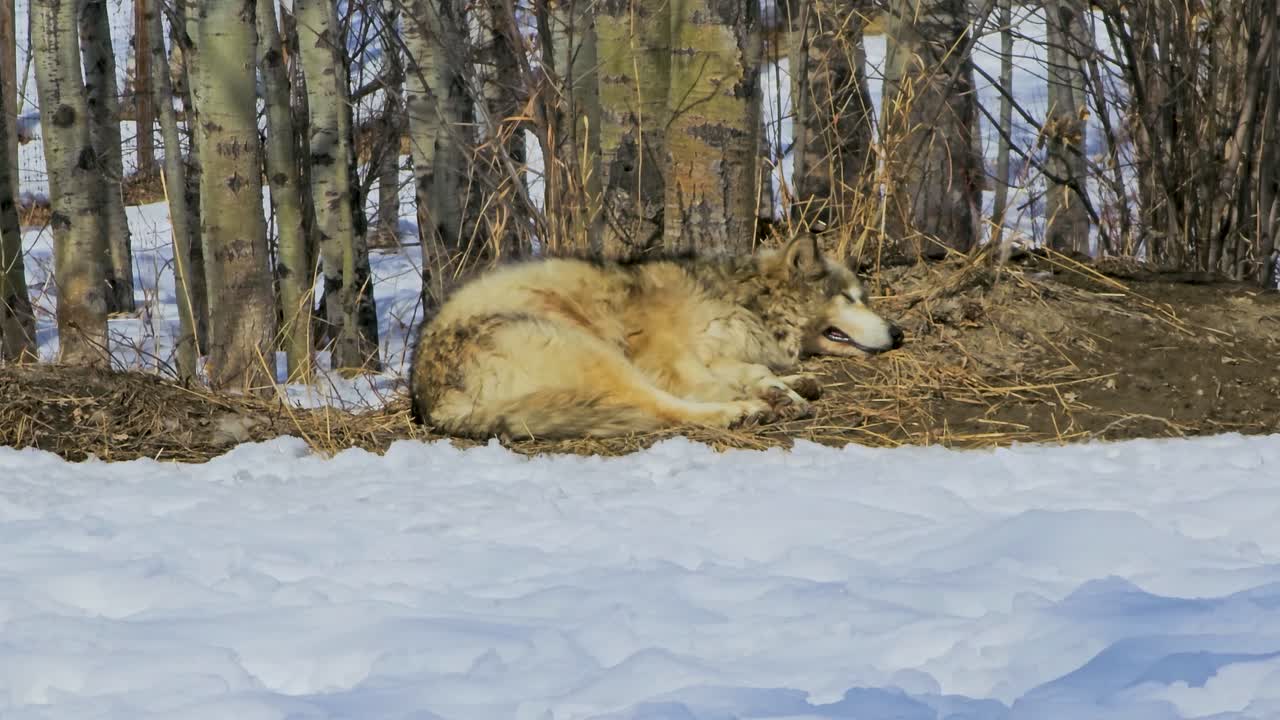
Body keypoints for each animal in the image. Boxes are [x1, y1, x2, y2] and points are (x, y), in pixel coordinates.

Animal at [408, 233, 904, 439]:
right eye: (850, 298)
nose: (898, 332)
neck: (745, 298)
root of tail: (432, 401)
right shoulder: (674, 361)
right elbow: (718, 380)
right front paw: (770, 394)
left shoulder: (723, 350)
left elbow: (755, 369)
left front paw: (789, 385)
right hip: (593, 349)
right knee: (660, 407)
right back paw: (740, 413)